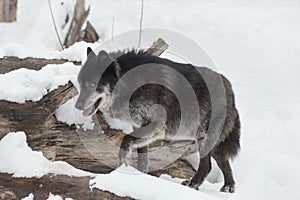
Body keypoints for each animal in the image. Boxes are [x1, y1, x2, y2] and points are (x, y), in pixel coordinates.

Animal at [75, 47, 241, 192]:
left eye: (92, 84)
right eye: (80, 84)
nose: (77, 105)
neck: (129, 83)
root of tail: (231, 90)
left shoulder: (156, 126)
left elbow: (126, 141)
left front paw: (122, 167)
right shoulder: (140, 126)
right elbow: (142, 154)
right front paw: (141, 175)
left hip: (205, 139)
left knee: (207, 165)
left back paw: (193, 184)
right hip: (210, 142)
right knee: (223, 162)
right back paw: (228, 187)